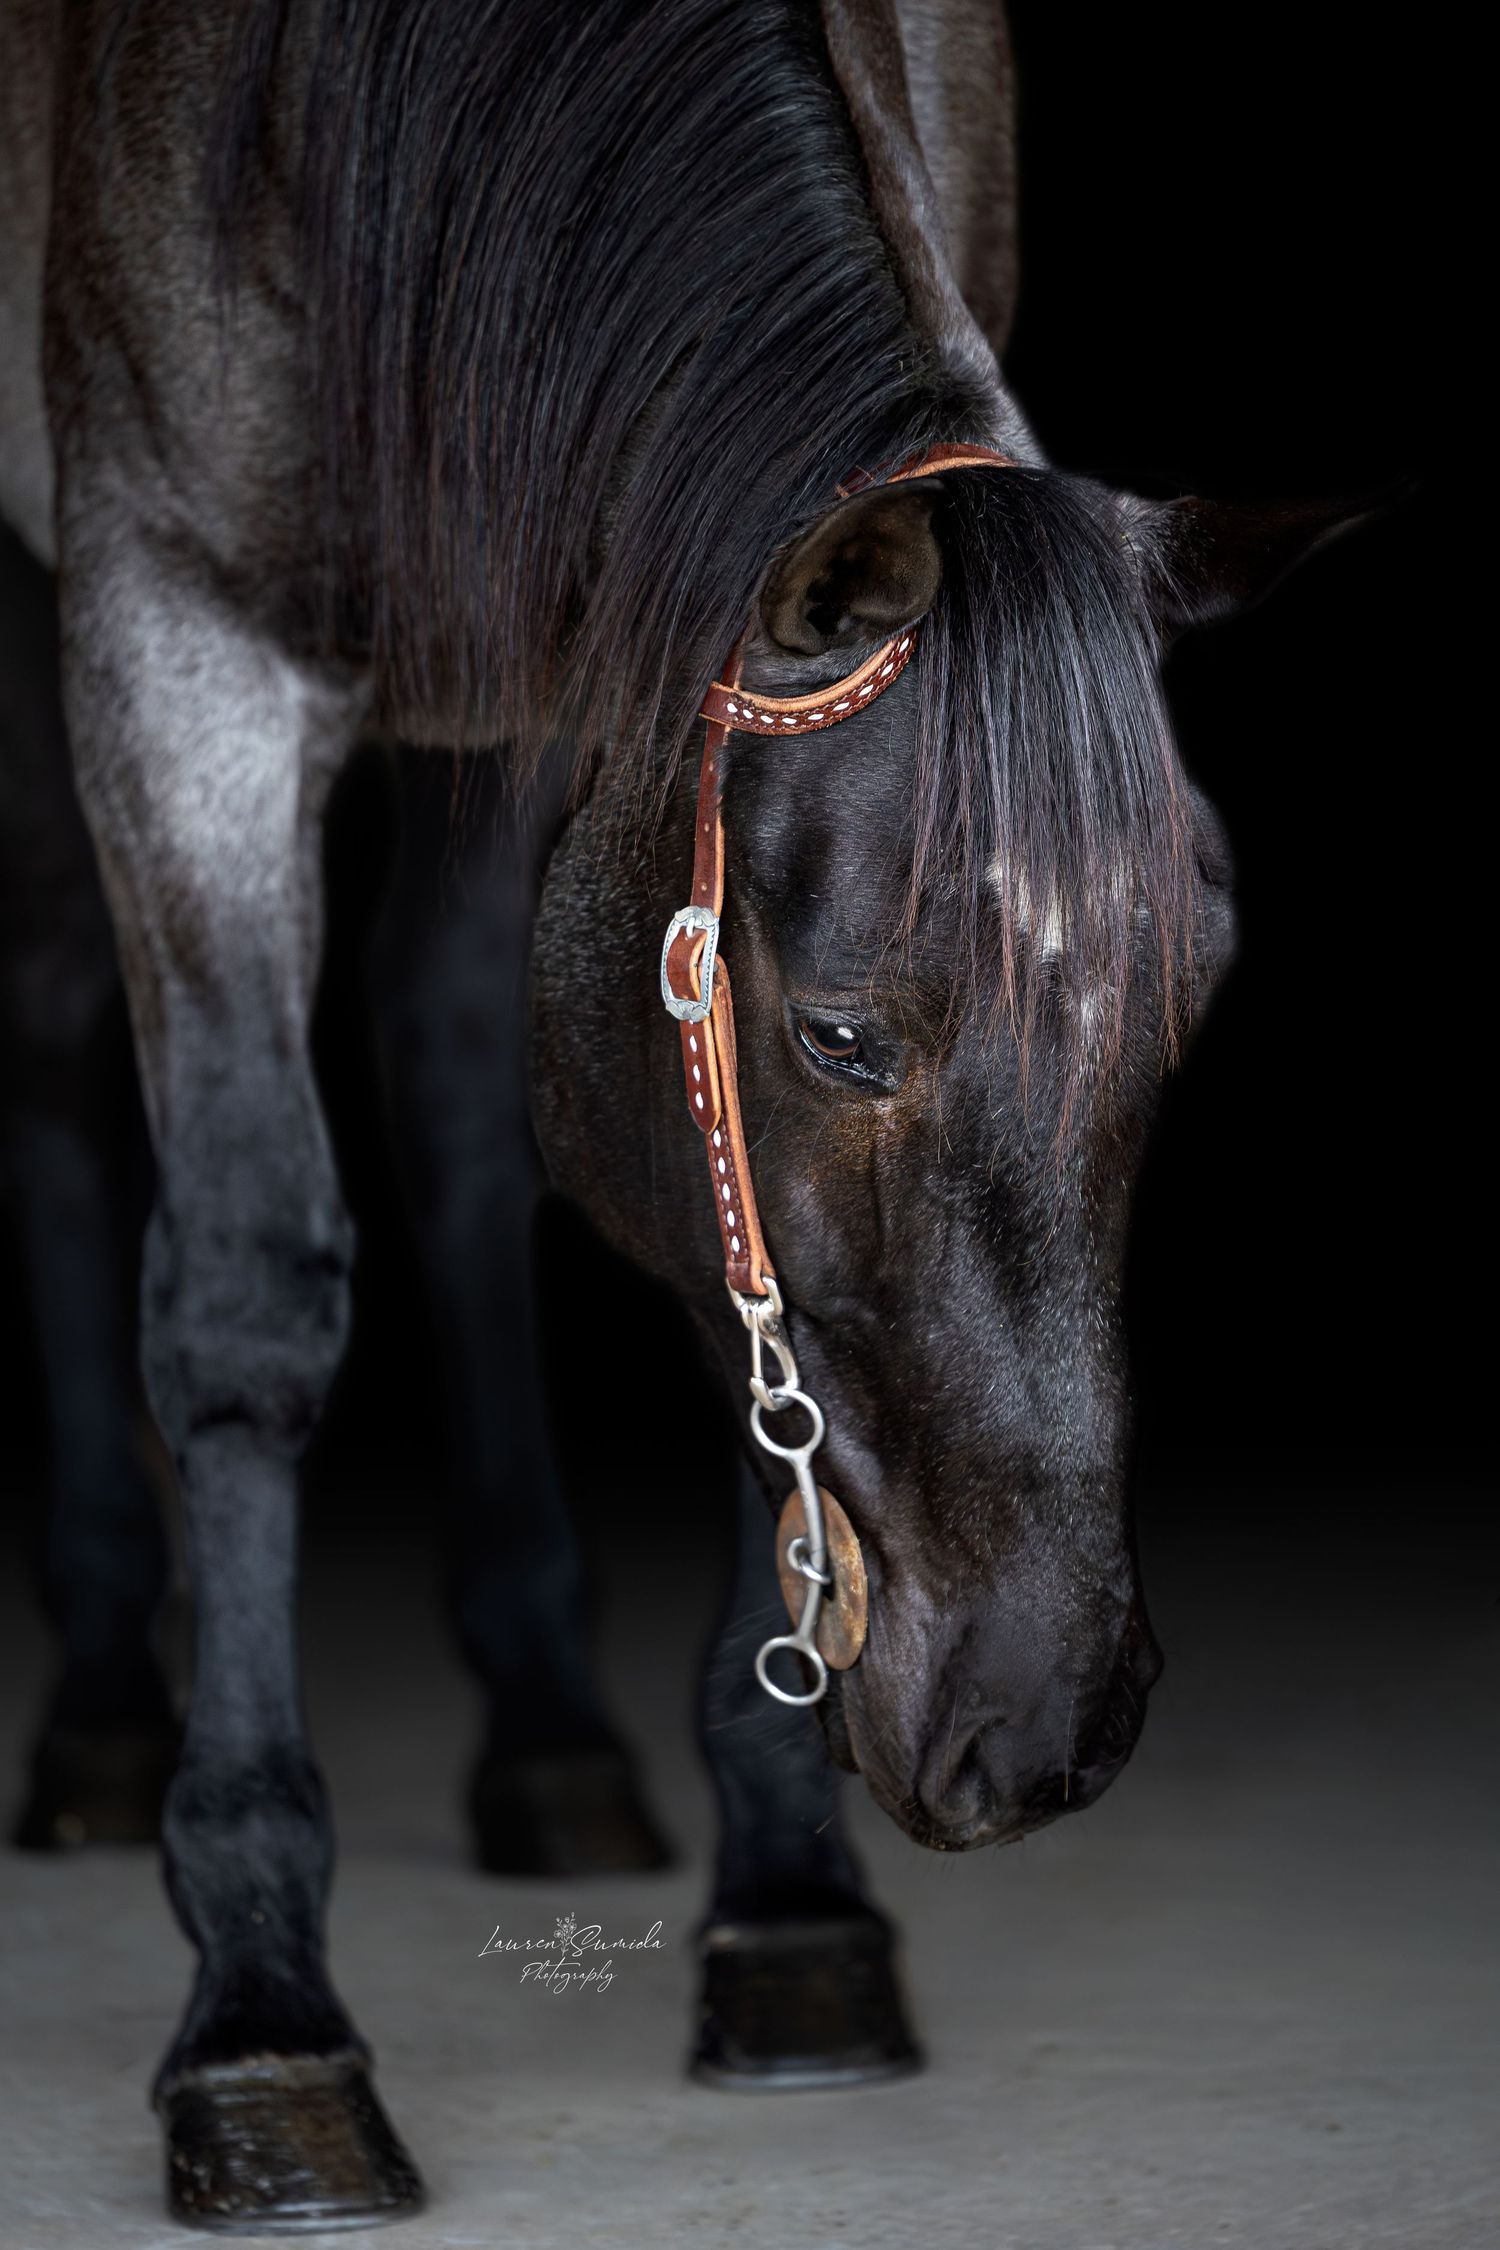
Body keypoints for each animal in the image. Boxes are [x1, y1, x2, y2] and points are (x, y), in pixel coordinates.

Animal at [0, 0, 1365, 2229]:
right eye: (838, 1040)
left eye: (1184, 1017)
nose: (1048, 1724)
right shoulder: (171, 638)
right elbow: (247, 1303)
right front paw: (265, 2021)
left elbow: (731, 1320)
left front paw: (793, 1916)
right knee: (56, 1049)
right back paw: (109, 1713)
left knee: (455, 1099)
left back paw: (552, 1737)